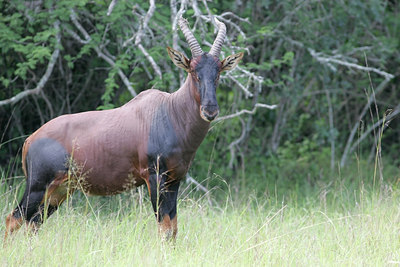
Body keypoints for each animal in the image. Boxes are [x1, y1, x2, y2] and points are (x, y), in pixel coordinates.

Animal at [4, 16, 244, 243]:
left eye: (219, 72)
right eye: (193, 71)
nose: (210, 110)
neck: (170, 110)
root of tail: (30, 139)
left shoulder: (174, 180)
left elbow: (173, 230)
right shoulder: (154, 177)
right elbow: (164, 229)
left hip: (60, 191)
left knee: (33, 224)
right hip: (38, 187)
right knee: (13, 219)